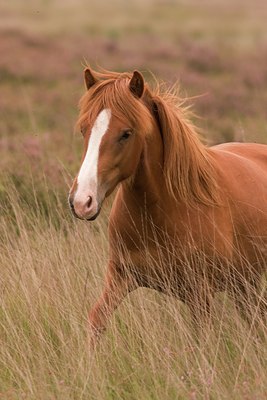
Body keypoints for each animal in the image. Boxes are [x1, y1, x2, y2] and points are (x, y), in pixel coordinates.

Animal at [69, 67, 267, 346]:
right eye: (84, 129)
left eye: (126, 133)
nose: (81, 201)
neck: (163, 210)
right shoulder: (120, 277)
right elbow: (97, 320)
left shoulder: (199, 293)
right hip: (244, 283)